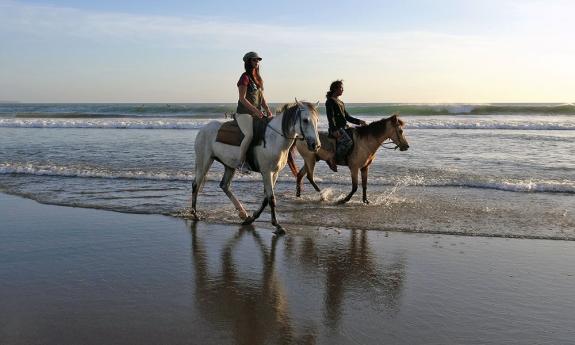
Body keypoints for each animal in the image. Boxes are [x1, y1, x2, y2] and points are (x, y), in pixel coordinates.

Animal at [191, 100, 322, 234]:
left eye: (317, 120)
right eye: (305, 120)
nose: (315, 145)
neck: (274, 139)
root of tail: (203, 129)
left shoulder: (275, 173)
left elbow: (266, 198)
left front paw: (253, 217)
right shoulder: (267, 172)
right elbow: (271, 198)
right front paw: (277, 225)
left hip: (229, 165)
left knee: (224, 186)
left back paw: (243, 214)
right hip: (204, 161)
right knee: (196, 184)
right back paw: (195, 214)